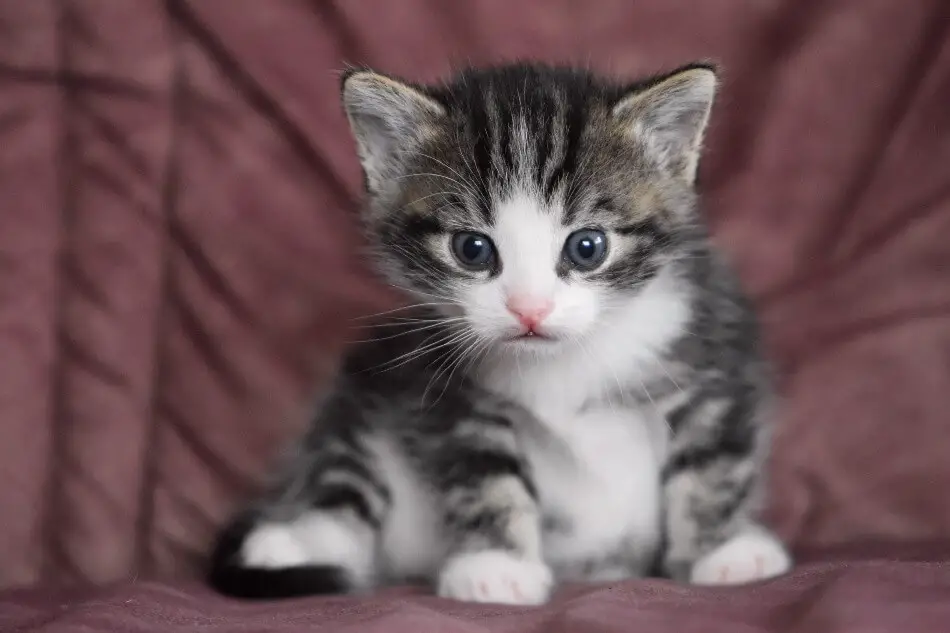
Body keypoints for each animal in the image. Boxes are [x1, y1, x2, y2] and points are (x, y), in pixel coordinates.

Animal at [210, 61, 796, 604]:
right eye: (472, 249)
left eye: (587, 247)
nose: (528, 310)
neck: (564, 363)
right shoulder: (449, 393)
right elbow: (483, 475)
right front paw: (496, 566)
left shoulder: (712, 357)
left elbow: (712, 465)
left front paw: (723, 551)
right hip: (357, 401)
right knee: (345, 493)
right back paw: (284, 543)